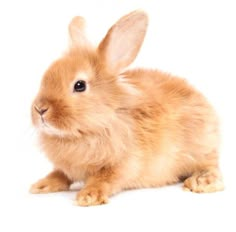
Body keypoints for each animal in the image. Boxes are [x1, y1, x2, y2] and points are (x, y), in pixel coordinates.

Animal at [30, 10, 224, 207]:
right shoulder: (66, 167)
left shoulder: (123, 165)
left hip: (202, 149)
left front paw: (88, 196)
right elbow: (60, 174)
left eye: (79, 85)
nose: (40, 109)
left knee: (211, 166)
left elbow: (104, 179)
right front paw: (41, 185)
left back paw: (201, 182)